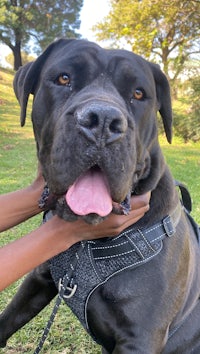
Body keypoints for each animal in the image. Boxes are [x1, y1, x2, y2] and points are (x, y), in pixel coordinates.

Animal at [0, 38, 200, 354]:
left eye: (138, 93)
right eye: (64, 78)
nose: (103, 120)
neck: (85, 247)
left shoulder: (140, 338)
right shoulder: (38, 279)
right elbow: (7, 319)